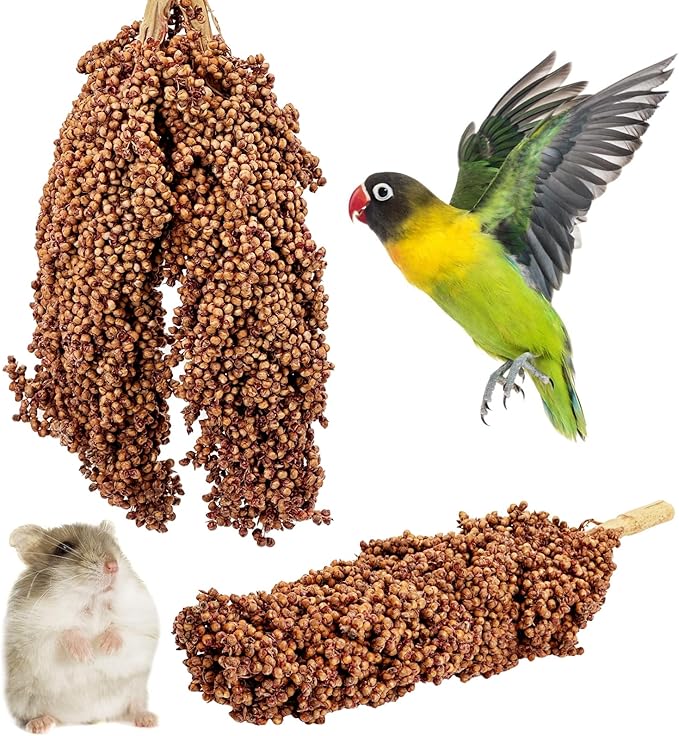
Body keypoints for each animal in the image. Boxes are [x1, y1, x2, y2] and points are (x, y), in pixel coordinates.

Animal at [4, 521, 159, 733]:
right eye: (63, 548)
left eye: (113, 544)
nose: (113, 566)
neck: (92, 601)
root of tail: (87, 717)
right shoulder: (32, 636)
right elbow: (63, 633)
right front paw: (87, 655)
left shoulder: (143, 625)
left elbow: (124, 630)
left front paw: (104, 647)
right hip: (23, 698)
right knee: (31, 715)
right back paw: (40, 724)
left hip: (137, 690)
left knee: (133, 708)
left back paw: (148, 720)